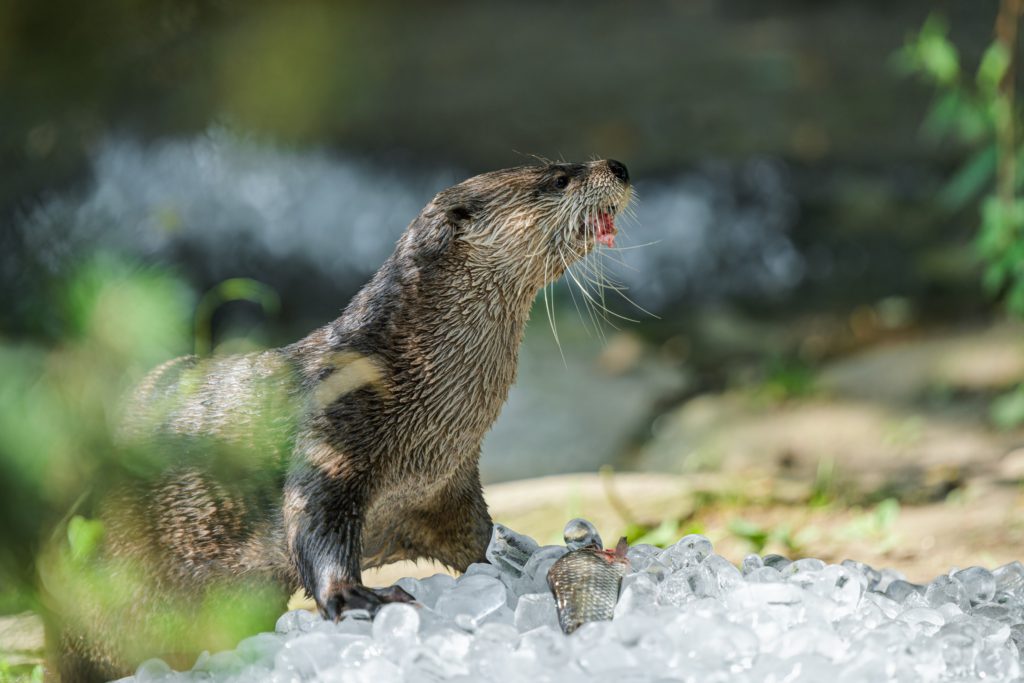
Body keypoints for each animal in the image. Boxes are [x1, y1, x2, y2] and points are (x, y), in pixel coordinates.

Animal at [48, 158, 630, 679]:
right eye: (559, 178)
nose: (618, 167)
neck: (402, 377)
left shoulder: (445, 488)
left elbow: (478, 539)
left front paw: (532, 563)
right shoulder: (332, 432)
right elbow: (312, 520)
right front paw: (357, 598)